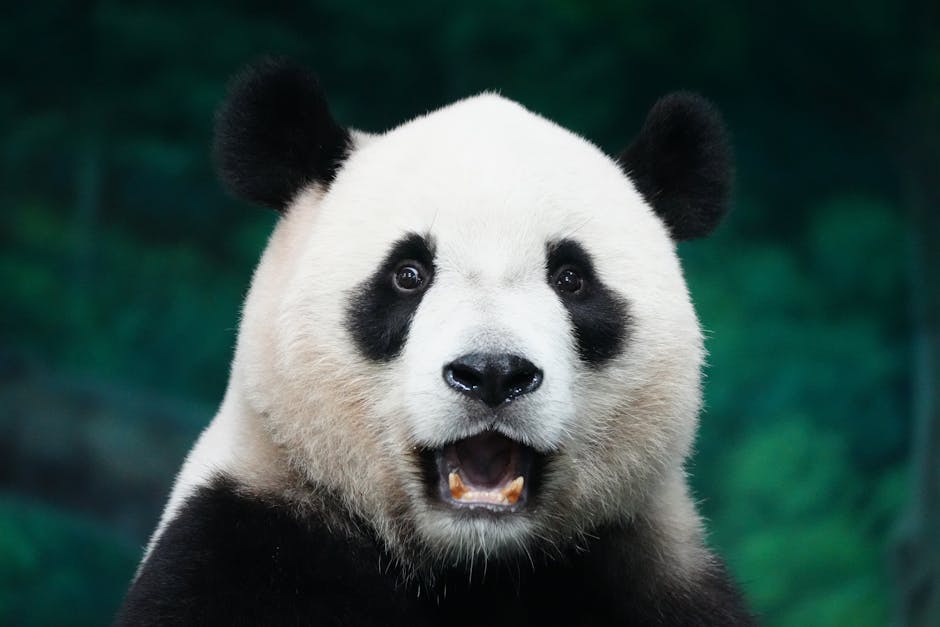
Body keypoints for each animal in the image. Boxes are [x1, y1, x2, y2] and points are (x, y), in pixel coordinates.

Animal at [118, 58, 754, 626]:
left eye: (571, 279)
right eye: (409, 274)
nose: (493, 372)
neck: (473, 565)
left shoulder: (651, 574)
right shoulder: (241, 546)